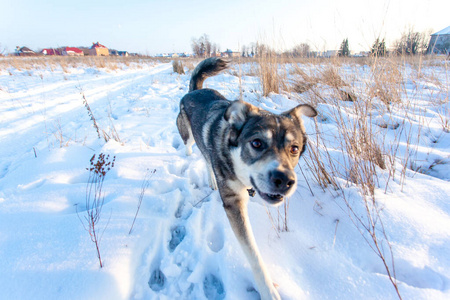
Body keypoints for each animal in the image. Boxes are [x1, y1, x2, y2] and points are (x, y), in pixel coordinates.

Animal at [178, 58, 318, 300]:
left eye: (294, 148)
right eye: (257, 143)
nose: (285, 180)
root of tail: (194, 90)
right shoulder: (233, 203)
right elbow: (253, 254)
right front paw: (268, 290)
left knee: (206, 157)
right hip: (187, 135)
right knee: (192, 148)